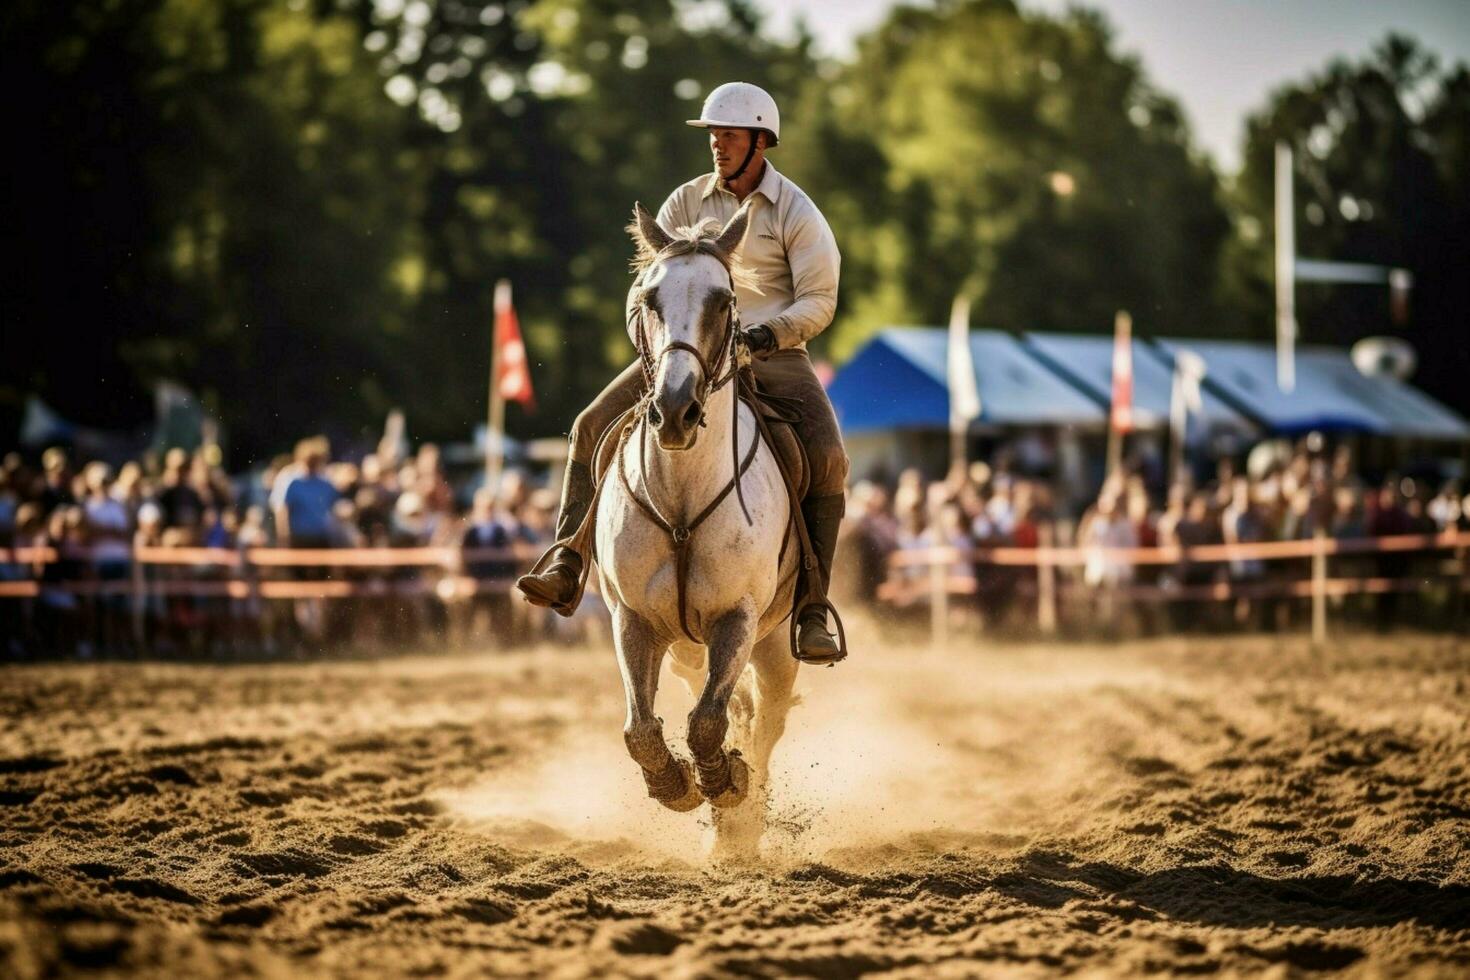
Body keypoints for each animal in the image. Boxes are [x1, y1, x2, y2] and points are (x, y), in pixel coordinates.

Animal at [593, 202, 805, 852]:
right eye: (649, 296)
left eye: (723, 300)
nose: (675, 412)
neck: (683, 498)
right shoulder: (633, 619)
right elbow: (641, 728)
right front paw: (677, 786)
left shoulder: (737, 618)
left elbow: (710, 724)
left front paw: (725, 784)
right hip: (686, 651)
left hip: (776, 647)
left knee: (763, 724)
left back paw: (743, 825)